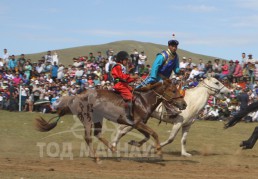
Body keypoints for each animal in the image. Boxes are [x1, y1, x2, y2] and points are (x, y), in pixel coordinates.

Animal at [35, 79, 186, 162]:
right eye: (173, 90)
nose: (184, 104)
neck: (144, 100)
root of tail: (77, 96)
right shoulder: (138, 123)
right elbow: (154, 133)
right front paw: (159, 151)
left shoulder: (138, 124)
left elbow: (148, 135)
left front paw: (134, 143)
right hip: (87, 119)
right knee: (88, 137)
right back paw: (96, 157)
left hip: (98, 118)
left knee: (97, 134)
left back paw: (113, 149)